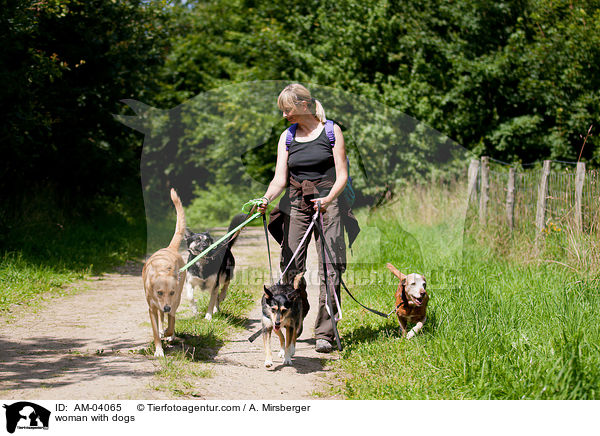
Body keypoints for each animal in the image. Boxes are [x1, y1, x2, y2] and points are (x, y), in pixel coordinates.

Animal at [142, 189, 186, 356]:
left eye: (172, 292)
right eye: (159, 292)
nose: (166, 307)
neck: (163, 269)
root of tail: (169, 248)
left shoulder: (174, 300)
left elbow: (172, 323)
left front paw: (169, 333)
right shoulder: (152, 308)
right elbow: (155, 331)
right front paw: (159, 350)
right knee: (161, 317)